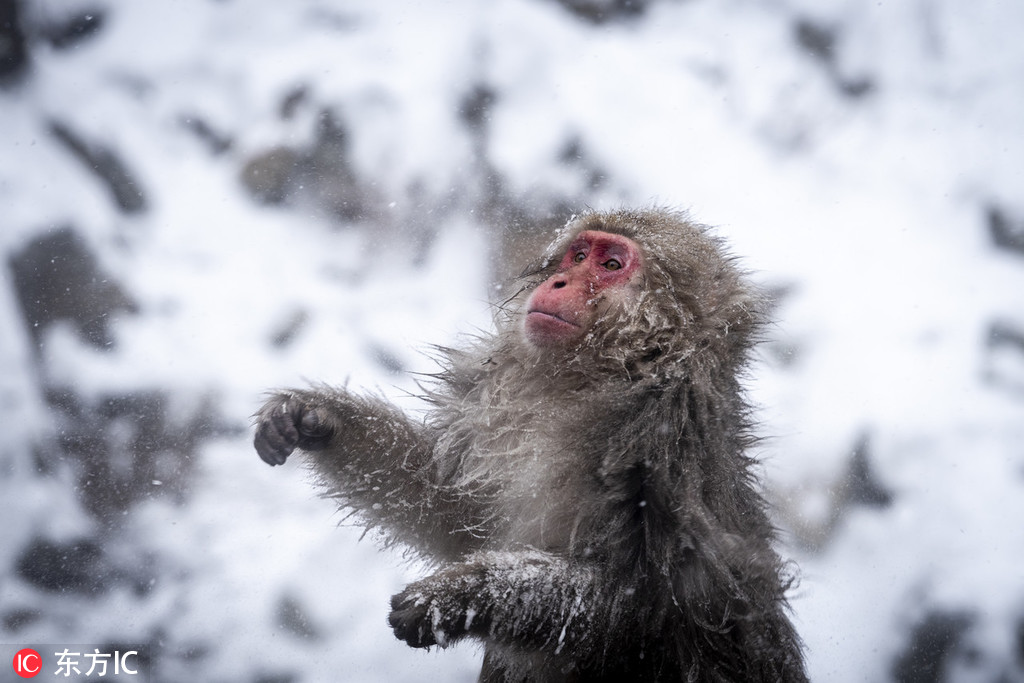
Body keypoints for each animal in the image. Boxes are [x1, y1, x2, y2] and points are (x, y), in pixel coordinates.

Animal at [251, 209, 802, 683]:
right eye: (577, 256)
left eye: (610, 265)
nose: (556, 283)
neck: (593, 382)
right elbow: (457, 514)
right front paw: (318, 419)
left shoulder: (666, 457)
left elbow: (647, 608)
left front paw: (463, 596)